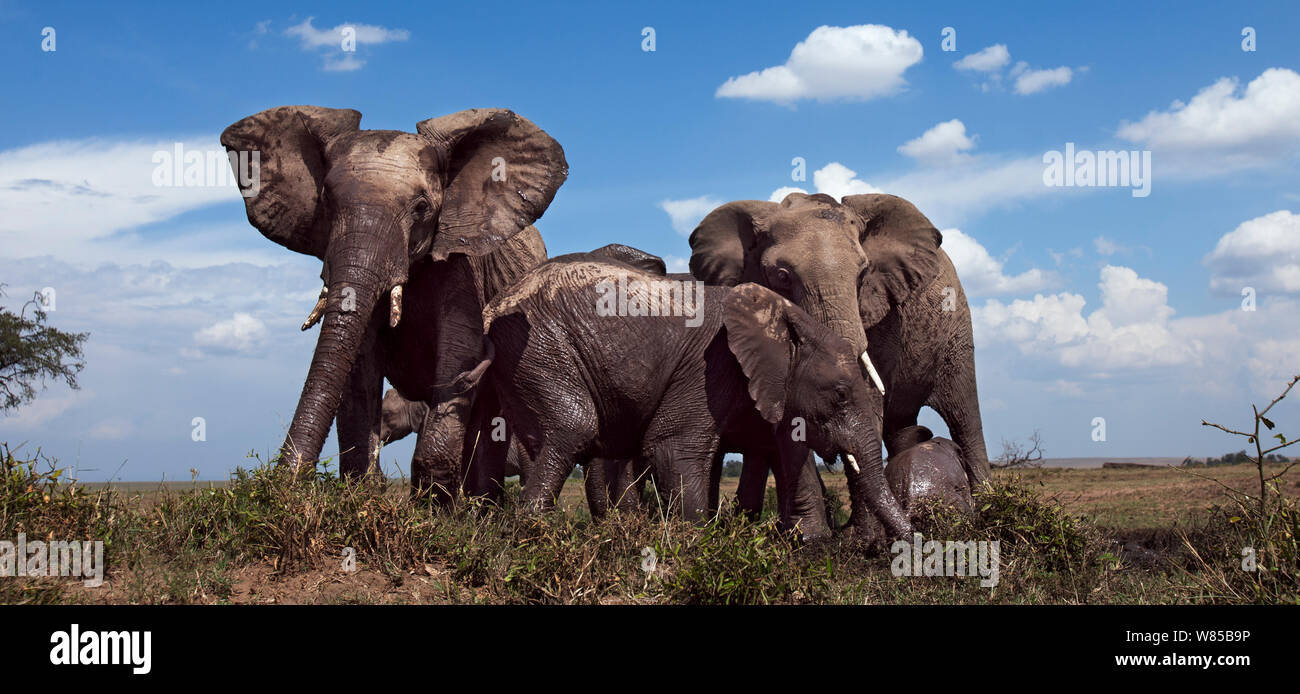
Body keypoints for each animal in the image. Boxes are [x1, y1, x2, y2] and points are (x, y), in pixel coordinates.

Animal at [220, 104, 566, 506]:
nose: (282, 486)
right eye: (326, 201)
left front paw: (435, 513)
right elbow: (358, 366)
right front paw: (364, 495)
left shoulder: (463, 265)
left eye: (421, 208)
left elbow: (459, 351)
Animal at [460, 261, 915, 543]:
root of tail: (491, 306)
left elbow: (777, 446)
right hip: (539, 346)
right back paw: (530, 537)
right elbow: (675, 448)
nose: (913, 544)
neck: (787, 318)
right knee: (573, 426)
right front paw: (694, 546)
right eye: (840, 395)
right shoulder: (711, 367)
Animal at [691, 193, 982, 535]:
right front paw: (813, 538)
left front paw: (862, 539)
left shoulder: (878, 315)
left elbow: (868, 395)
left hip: (957, 330)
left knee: (964, 416)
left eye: (863, 273)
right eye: (782, 277)